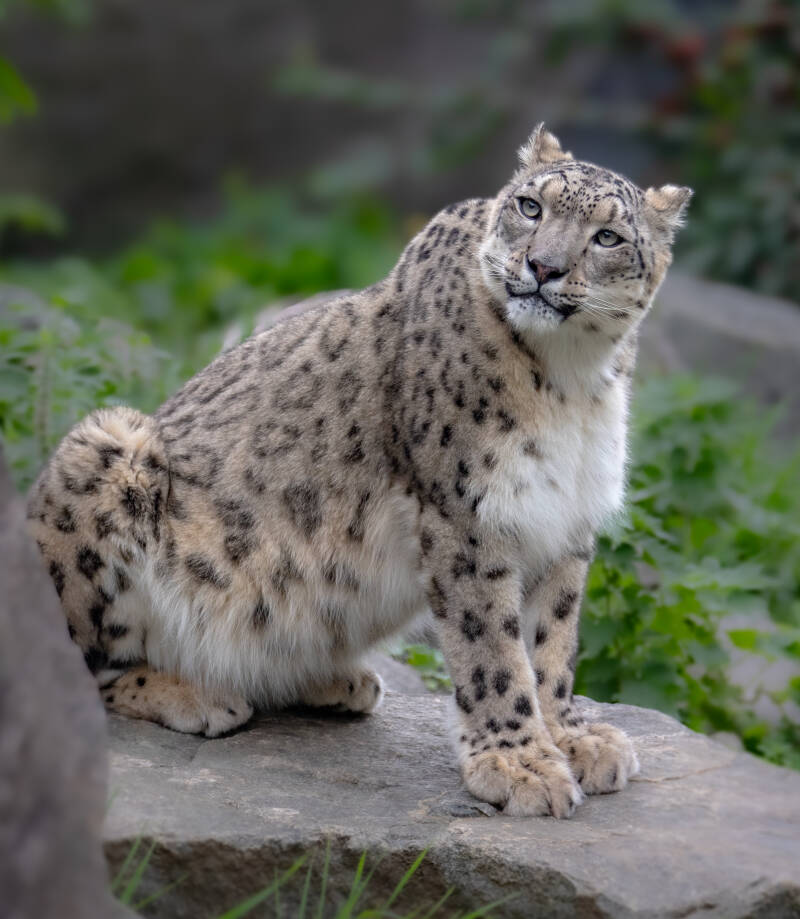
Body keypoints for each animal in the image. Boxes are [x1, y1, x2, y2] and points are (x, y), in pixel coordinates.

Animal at [27, 124, 691, 817]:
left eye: (608, 237)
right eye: (531, 206)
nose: (542, 267)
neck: (572, 380)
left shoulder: (563, 519)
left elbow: (550, 640)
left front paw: (573, 737)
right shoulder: (469, 516)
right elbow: (493, 647)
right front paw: (520, 765)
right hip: (103, 452)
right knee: (83, 663)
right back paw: (200, 694)